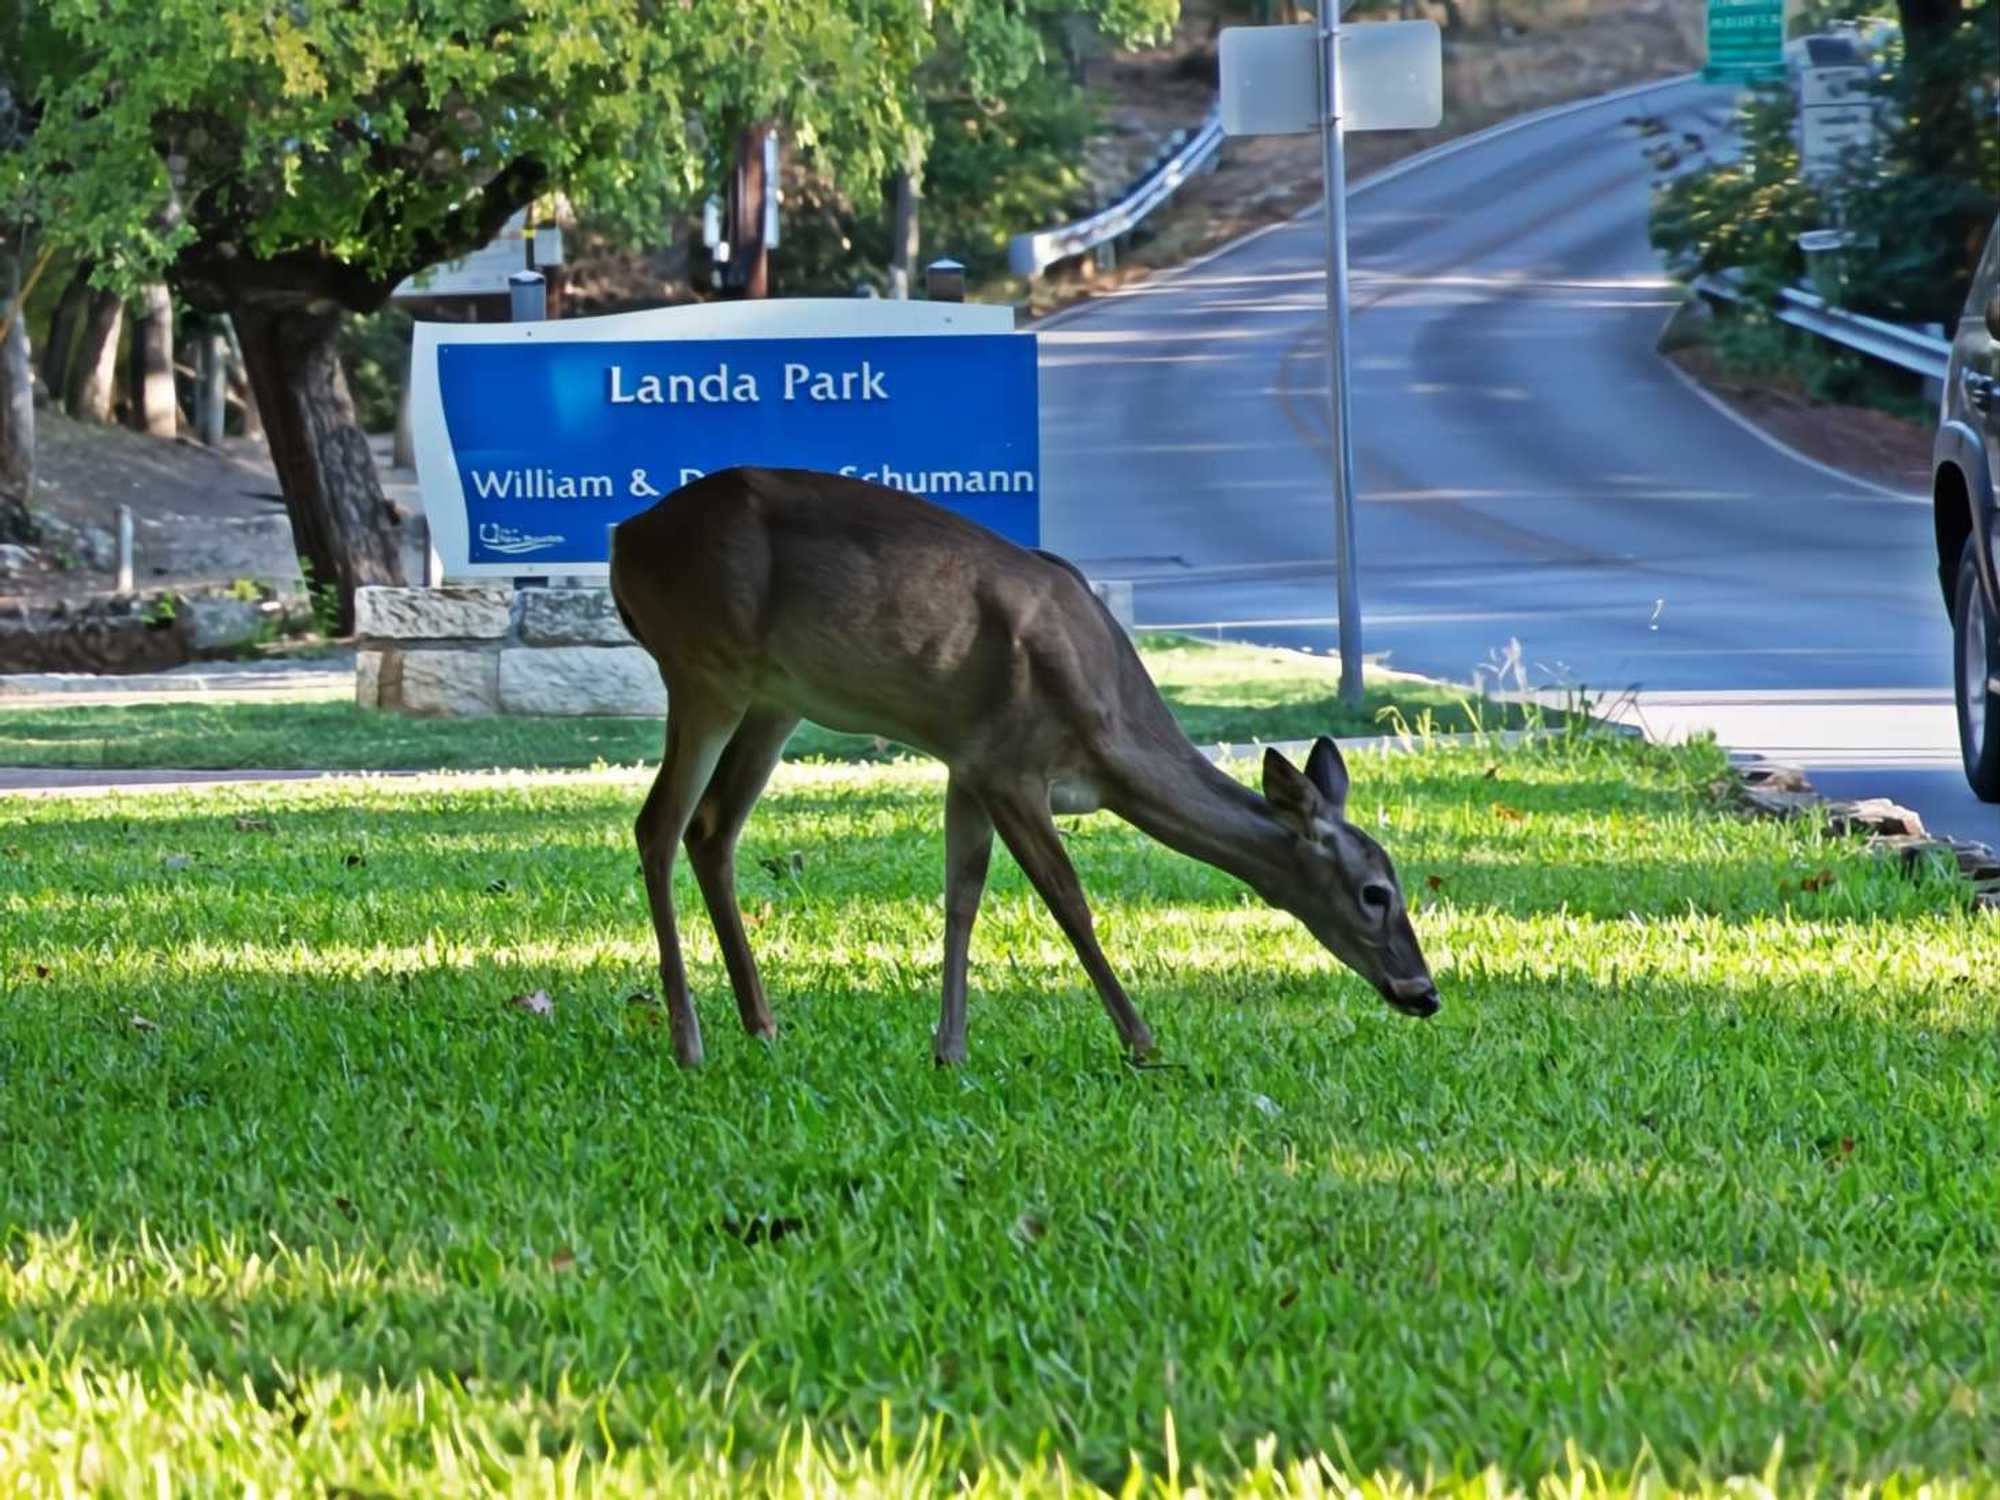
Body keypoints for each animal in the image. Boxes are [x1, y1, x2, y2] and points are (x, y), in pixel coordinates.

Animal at [609, 466, 1439, 1068]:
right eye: (1375, 892)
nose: (1424, 992)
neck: (1109, 736)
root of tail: (625, 540)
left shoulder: (967, 766)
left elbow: (961, 898)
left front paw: (949, 1050)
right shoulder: (1011, 763)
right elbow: (1069, 900)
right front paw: (1142, 1042)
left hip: (776, 698)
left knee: (711, 828)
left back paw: (762, 1024)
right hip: (705, 665)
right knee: (658, 824)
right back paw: (689, 1041)